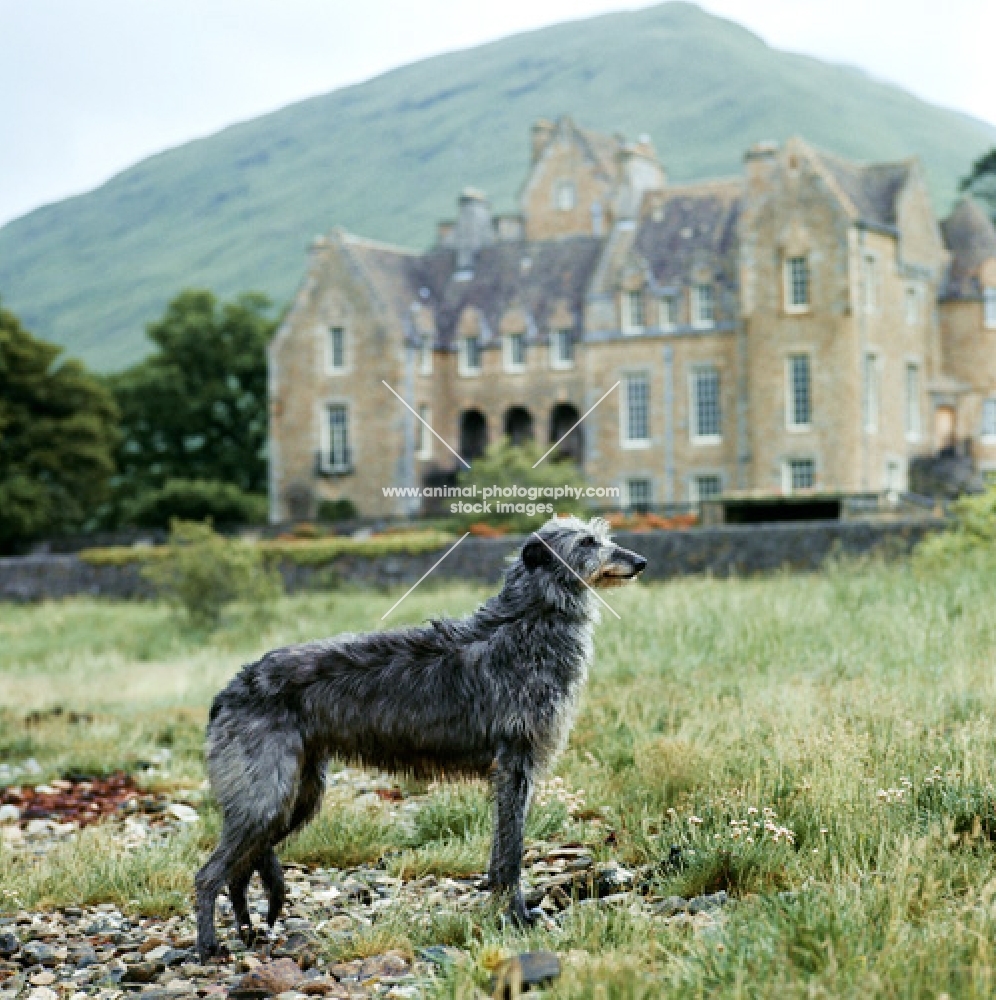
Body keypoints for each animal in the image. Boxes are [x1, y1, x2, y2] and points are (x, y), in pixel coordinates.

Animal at [194, 516, 644, 960]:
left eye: (603, 536)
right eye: (587, 542)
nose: (640, 562)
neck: (526, 623)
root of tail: (228, 691)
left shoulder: (512, 769)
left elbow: (503, 849)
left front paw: (505, 910)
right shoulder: (515, 762)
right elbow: (511, 852)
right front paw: (517, 917)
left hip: (297, 795)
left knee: (240, 870)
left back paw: (247, 932)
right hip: (265, 797)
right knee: (209, 873)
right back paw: (208, 946)